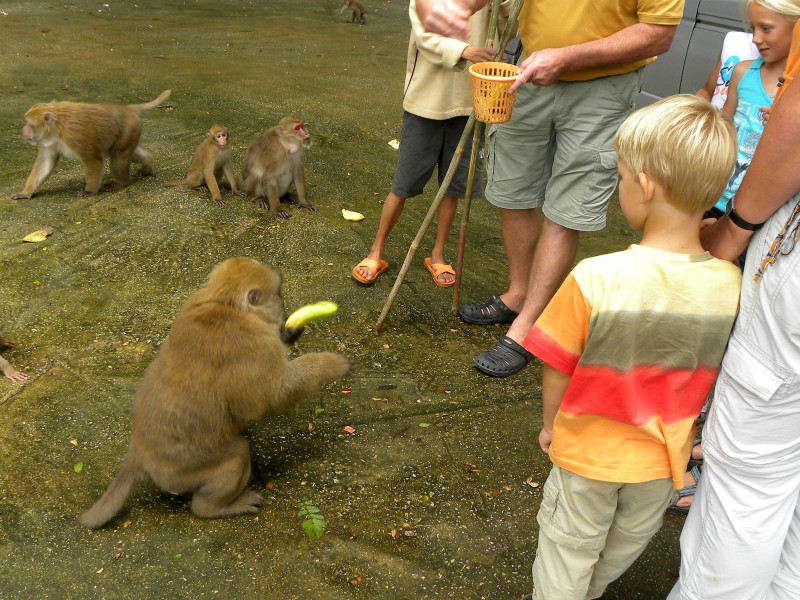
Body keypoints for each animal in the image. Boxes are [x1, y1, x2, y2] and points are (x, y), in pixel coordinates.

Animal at [11, 89, 171, 198]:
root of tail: (128, 108)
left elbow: (93, 159)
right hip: (132, 131)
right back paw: (148, 166)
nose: (23, 130)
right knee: (127, 152)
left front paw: (89, 191)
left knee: (119, 156)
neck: (57, 128)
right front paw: (25, 192)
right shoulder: (48, 141)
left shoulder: (75, 136)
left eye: (29, 123)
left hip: (129, 128)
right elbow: (46, 162)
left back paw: (121, 182)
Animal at [79, 255, 352, 528]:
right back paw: (215, 508)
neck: (226, 302)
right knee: (236, 457)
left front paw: (289, 331)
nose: (283, 310)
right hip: (184, 471)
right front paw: (331, 364)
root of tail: (139, 452)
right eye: (279, 292)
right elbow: (272, 397)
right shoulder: (255, 347)